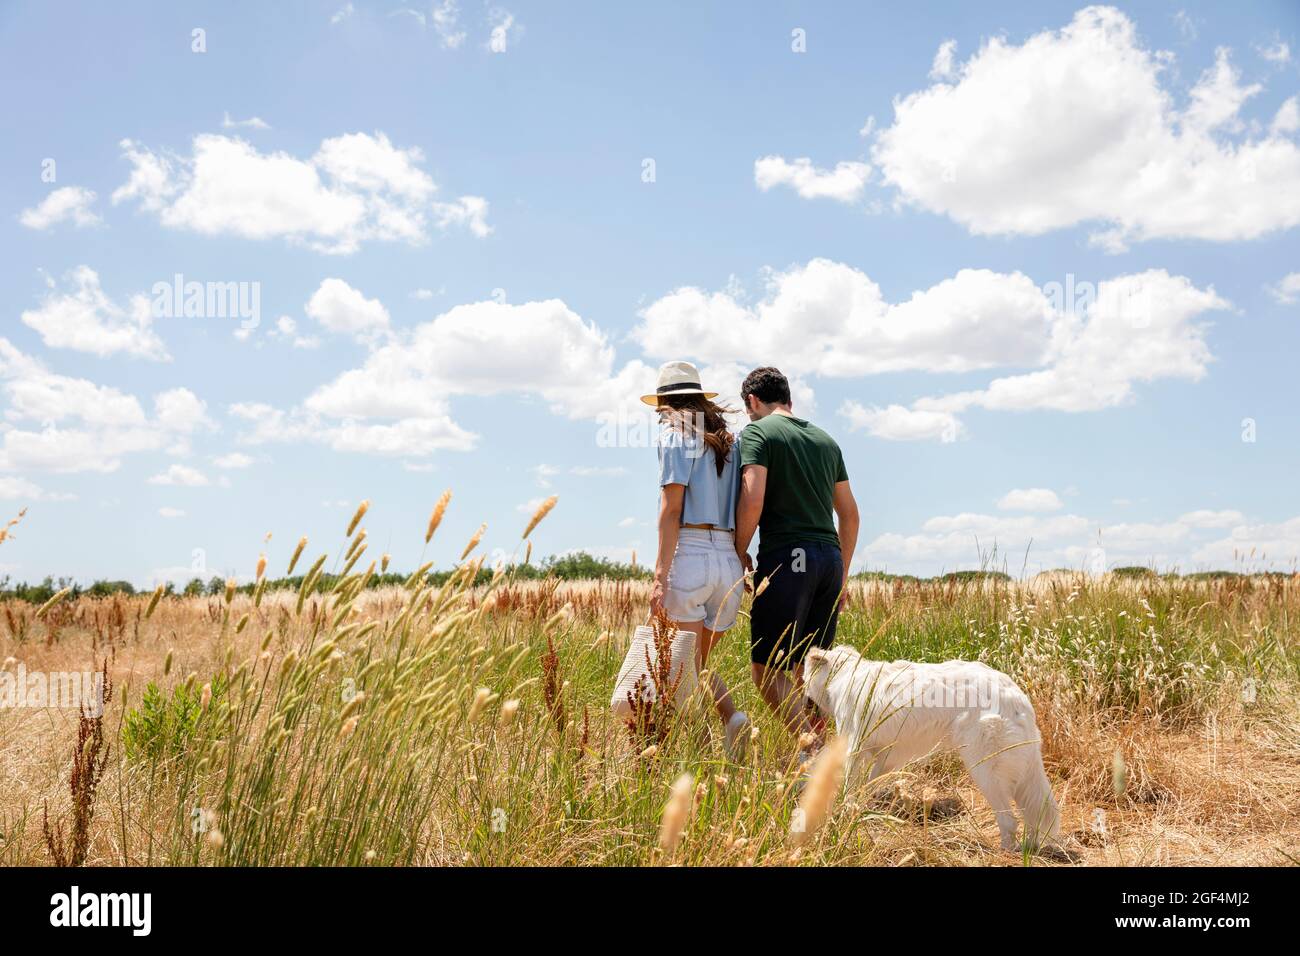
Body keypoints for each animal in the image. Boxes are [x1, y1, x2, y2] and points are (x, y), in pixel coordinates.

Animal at [800, 647, 1066, 858]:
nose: (803, 704)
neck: (844, 675)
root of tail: (1015, 695)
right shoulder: (884, 757)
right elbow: (865, 788)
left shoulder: (855, 750)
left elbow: (848, 790)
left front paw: (842, 815)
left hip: (985, 772)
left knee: (1009, 821)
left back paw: (1005, 852)